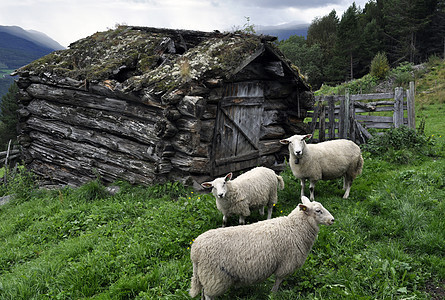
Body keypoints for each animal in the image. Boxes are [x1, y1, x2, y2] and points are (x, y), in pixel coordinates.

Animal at [188, 196, 332, 298]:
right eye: (318, 211)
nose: (332, 220)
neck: (294, 227)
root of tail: (195, 251)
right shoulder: (286, 263)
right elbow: (278, 280)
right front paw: (273, 294)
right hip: (214, 276)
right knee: (208, 295)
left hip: (205, 275)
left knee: (203, 292)